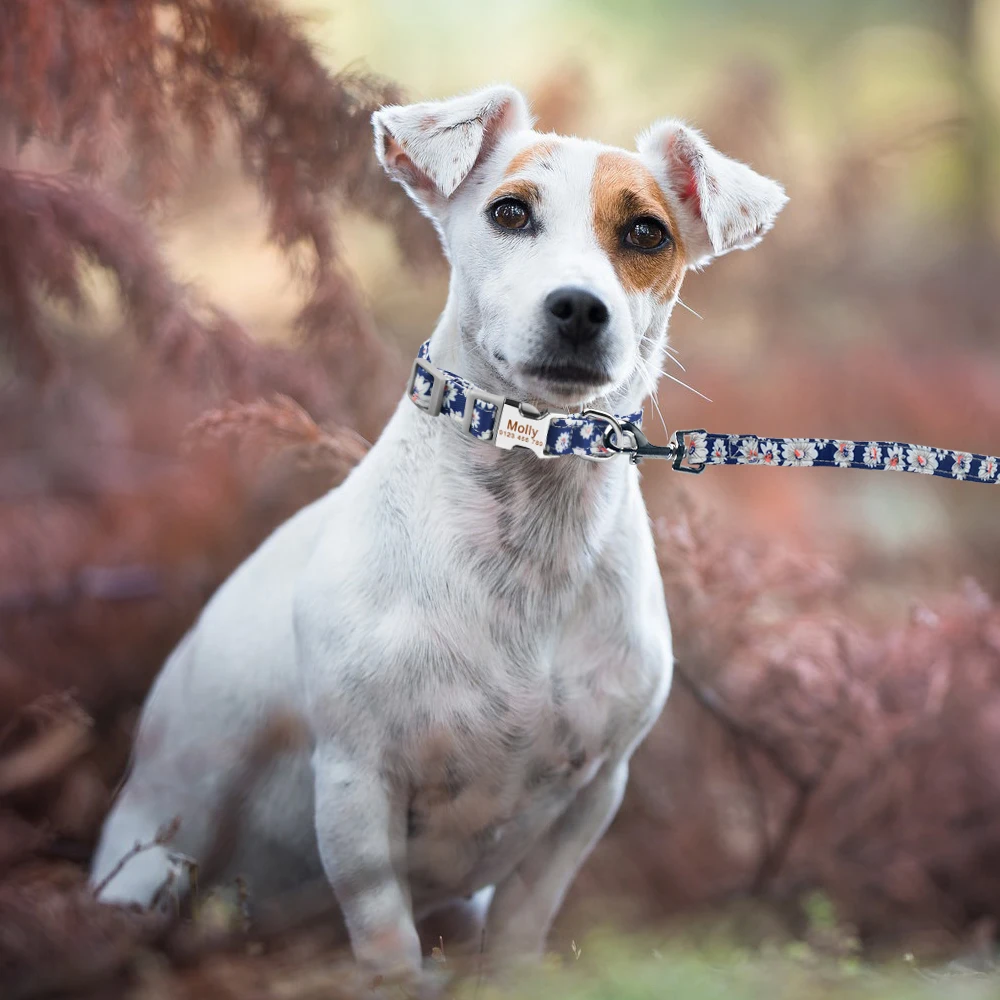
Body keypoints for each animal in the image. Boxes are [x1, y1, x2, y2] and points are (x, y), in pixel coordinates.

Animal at [90, 84, 784, 984]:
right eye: (510, 212)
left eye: (645, 233)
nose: (578, 306)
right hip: (155, 872)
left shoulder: (590, 797)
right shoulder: (356, 784)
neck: (530, 528)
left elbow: (523, 927)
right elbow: (385, 932)